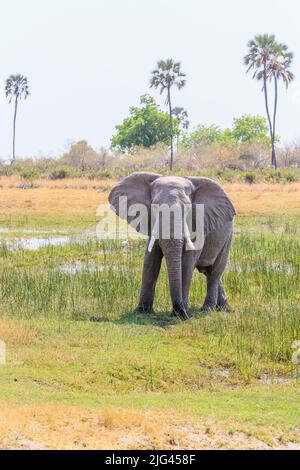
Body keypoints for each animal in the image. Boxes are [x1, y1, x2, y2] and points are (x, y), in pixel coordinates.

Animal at [109, 171, 236, 322]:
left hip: (228, 237)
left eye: (188, 208)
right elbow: (150, 261)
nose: (184, 315)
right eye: (154, 206)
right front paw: (141, 311)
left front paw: (180, 313)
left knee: (215, 272)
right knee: (207, 271)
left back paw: (207, 309)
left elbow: (187, 263)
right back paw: (223, 308)